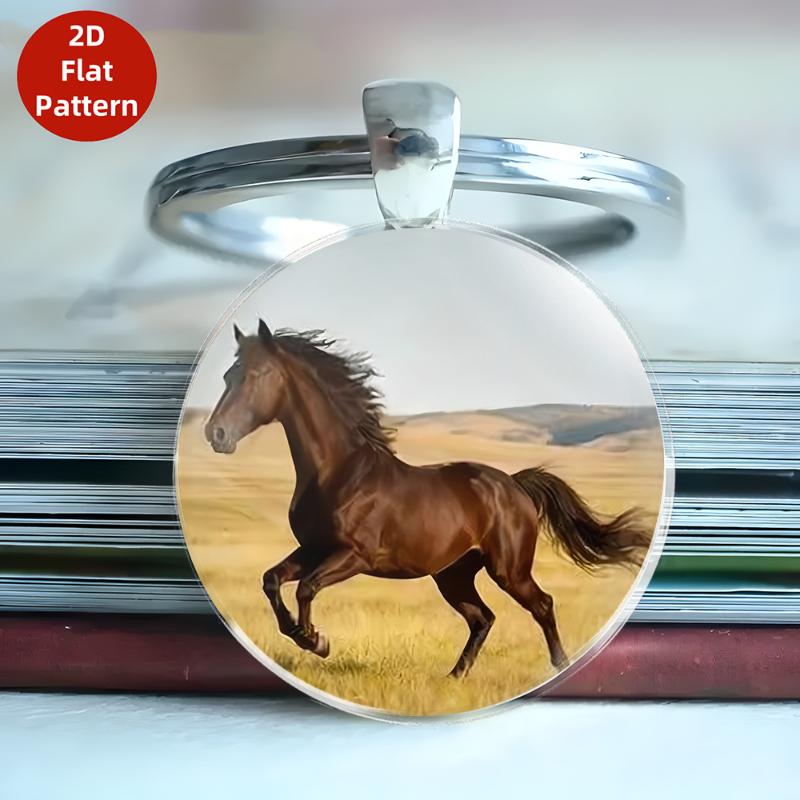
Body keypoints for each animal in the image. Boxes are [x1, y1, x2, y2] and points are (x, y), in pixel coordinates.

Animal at [204, 319, 650, 677]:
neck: (339, 472)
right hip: (452, 575)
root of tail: (514, 484)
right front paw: (303, 634)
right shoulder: (313, 548)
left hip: (508, 570)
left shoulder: (354, 555)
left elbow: (306, 588)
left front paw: (316, 640)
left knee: (541, 604)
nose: (216, 434)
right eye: (226, 375)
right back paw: (454, 677)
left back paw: (558, 665)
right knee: (482, 618)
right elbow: (272, 580)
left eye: (257, 374)